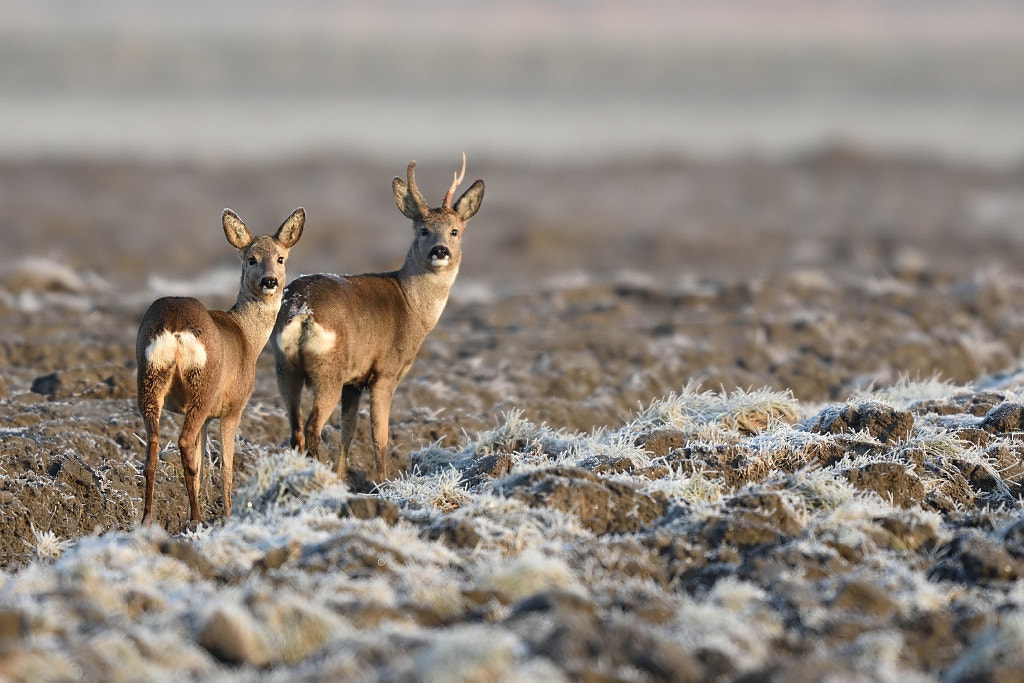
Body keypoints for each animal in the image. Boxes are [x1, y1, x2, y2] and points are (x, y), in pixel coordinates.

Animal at [138, 206, 303, 524]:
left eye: (280, 258)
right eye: (251, 258)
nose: (270, 281)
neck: (247, 337)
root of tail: (175, 327)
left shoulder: (208, 417)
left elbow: (203, 463)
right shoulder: (233, 408)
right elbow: (226, 465)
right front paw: (227, 515)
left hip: (150, 379)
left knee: (153, 445)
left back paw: (148, 520)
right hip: (203, 386)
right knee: (183, 441)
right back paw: (195, 518)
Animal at [274, 157, 485, 483]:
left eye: (455, 230)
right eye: (423, 230)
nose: (440, 251)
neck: (411, 306)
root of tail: (302, 309)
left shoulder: (354, 380)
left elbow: (348, 430)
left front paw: (344, 477)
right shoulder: (385, 371)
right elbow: (379, 434)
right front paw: (382, 481)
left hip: (285, 368)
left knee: (295, 428)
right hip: (328, 371)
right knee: (312, 426)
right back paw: (317, 474)